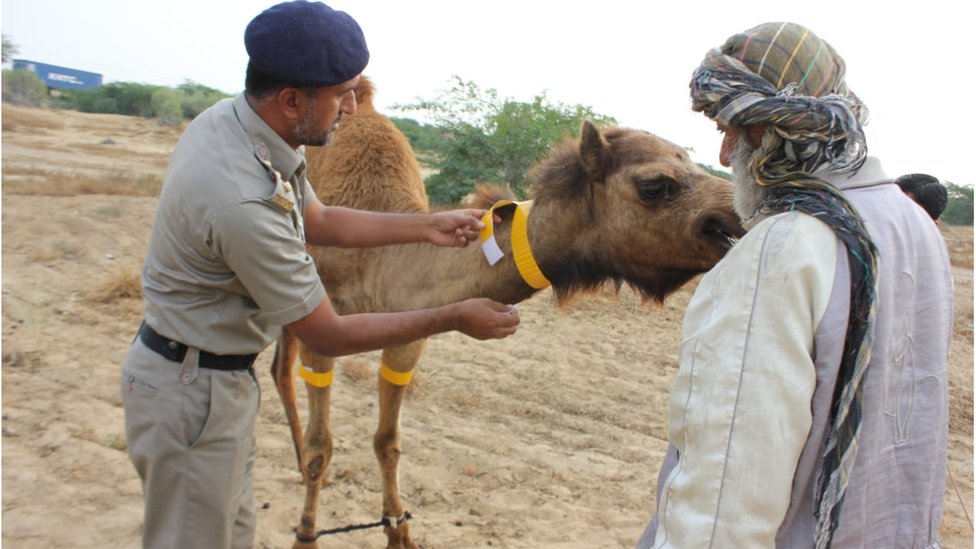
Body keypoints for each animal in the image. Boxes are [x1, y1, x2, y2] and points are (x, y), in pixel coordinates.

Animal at [270, 77, 744, 548]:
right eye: (655, 184)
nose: (733, 217)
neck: (379, 265)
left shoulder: (407, 339)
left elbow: (388, 441)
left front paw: (400, 533)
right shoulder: (324, 331)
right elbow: (323, 444)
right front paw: (306, 534)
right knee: (283, 373)